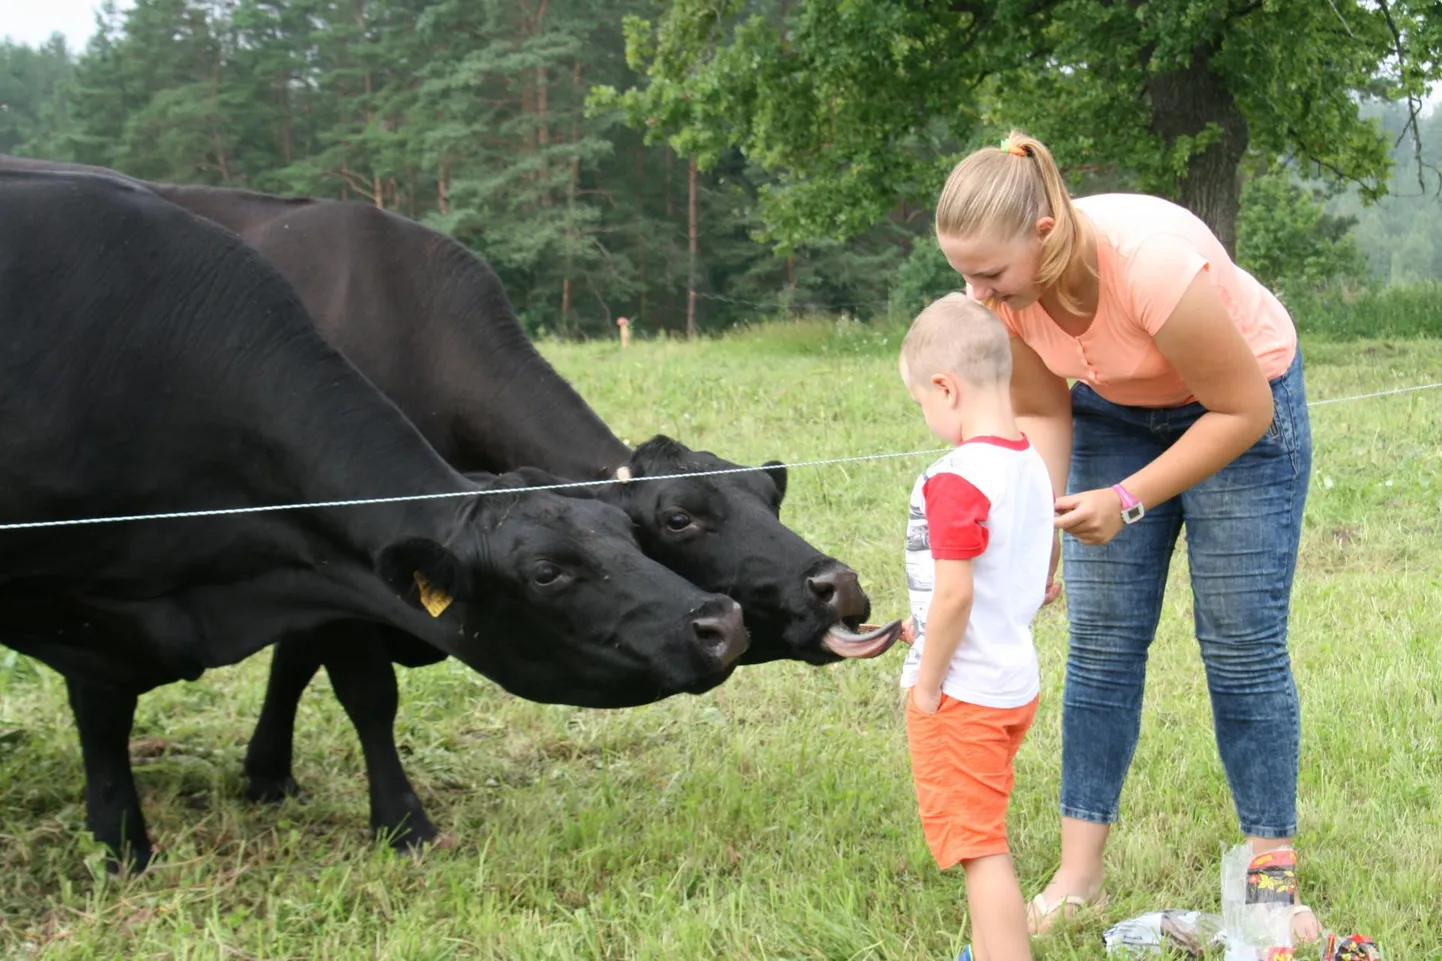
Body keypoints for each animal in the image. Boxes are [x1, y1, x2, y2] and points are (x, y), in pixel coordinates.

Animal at [0, 170, 744, 865]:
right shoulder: (86, 602)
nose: (721, 622)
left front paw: (269, 775)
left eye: (630, 534)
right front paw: (124, 846)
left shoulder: (324, 565)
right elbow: (355, 692)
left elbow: (301, 665)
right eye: (545, 572)